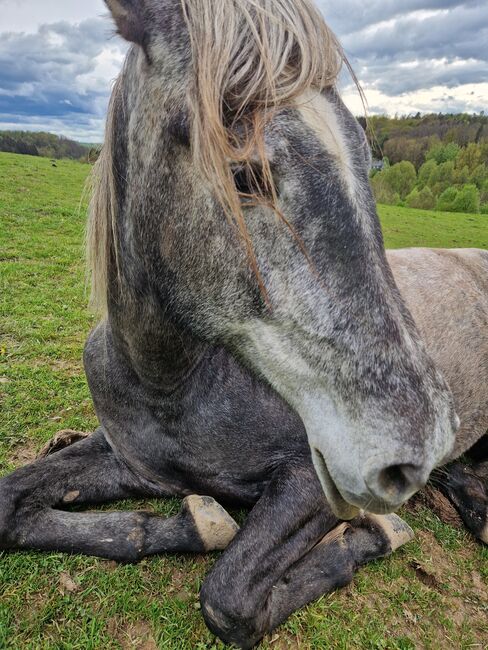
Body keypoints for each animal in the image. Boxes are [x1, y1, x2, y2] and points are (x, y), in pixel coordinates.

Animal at [0, 1, 486, 648]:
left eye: (367, 160)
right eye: (245, 176)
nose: (418, 451)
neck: (170, 384)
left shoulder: (311, 480)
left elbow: (228, 597)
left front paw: (372, 535)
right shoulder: (130, 461)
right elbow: (11, 504)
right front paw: (195, 520)